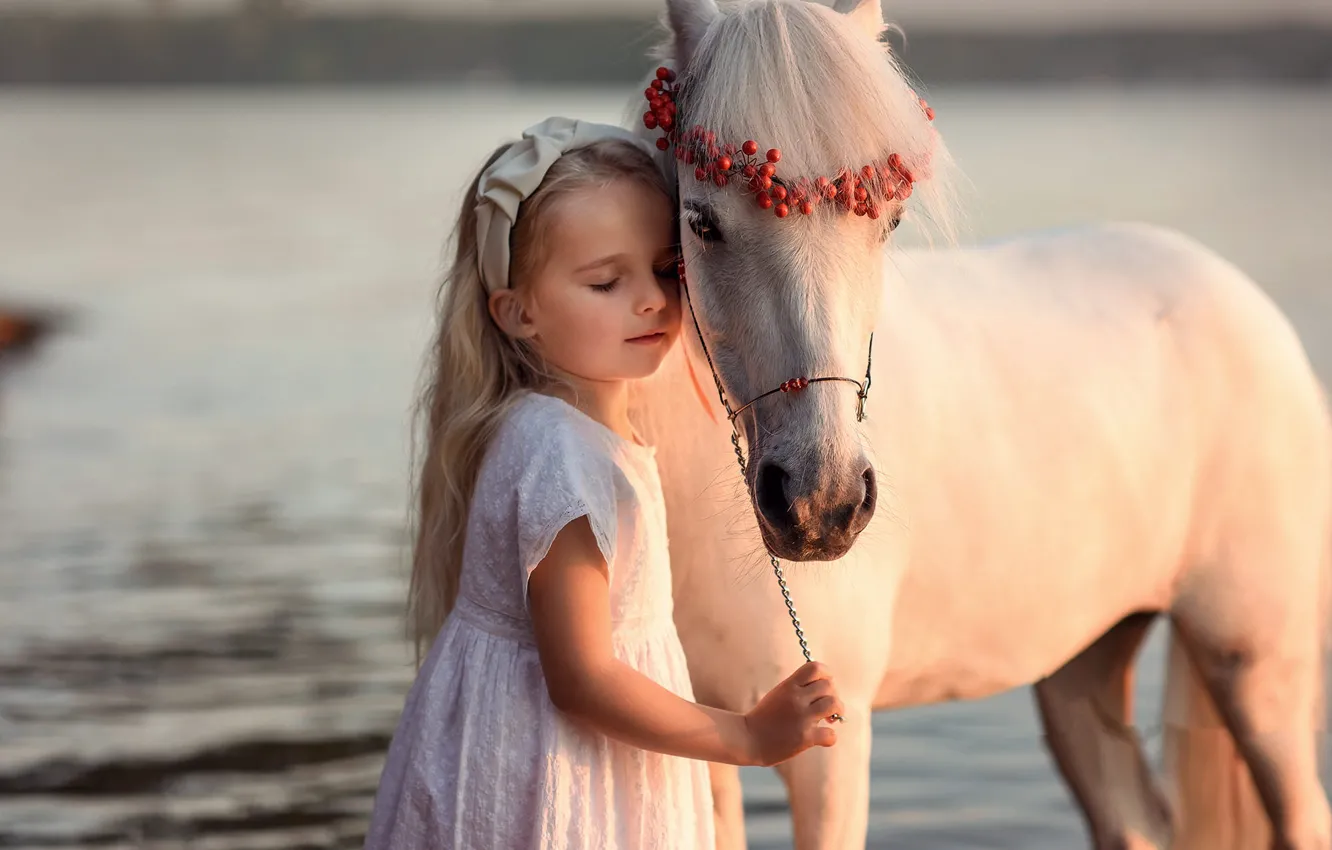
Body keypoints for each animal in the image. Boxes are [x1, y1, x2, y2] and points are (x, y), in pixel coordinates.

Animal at [624, 1, 1332, 848]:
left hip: (1257, 663)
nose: (821, 504)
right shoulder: (706, 743)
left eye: (890, 222)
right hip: (1083, 662)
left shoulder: (832, 743)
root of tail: (1240, 294)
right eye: (701, 222)